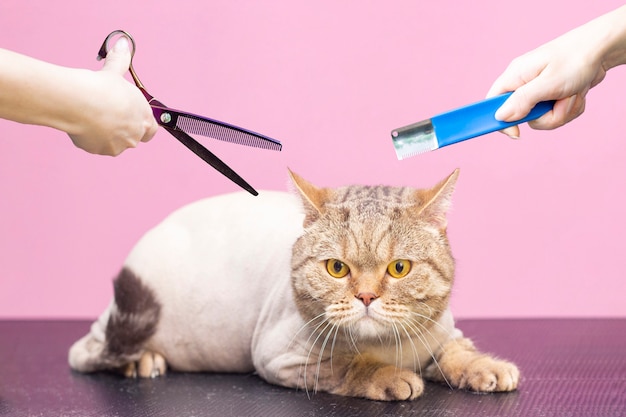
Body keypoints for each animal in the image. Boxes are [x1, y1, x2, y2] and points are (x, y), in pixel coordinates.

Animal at [67, 168, 516, 400]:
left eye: (399, 268)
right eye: (337, 268)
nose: (367, 296)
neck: (392, 346)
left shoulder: (443, 332)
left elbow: (457, 351)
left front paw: (485, 366)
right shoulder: (282, 357)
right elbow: (349, 366)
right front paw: (389, 376)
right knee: (88, 350)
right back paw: (140, 359)